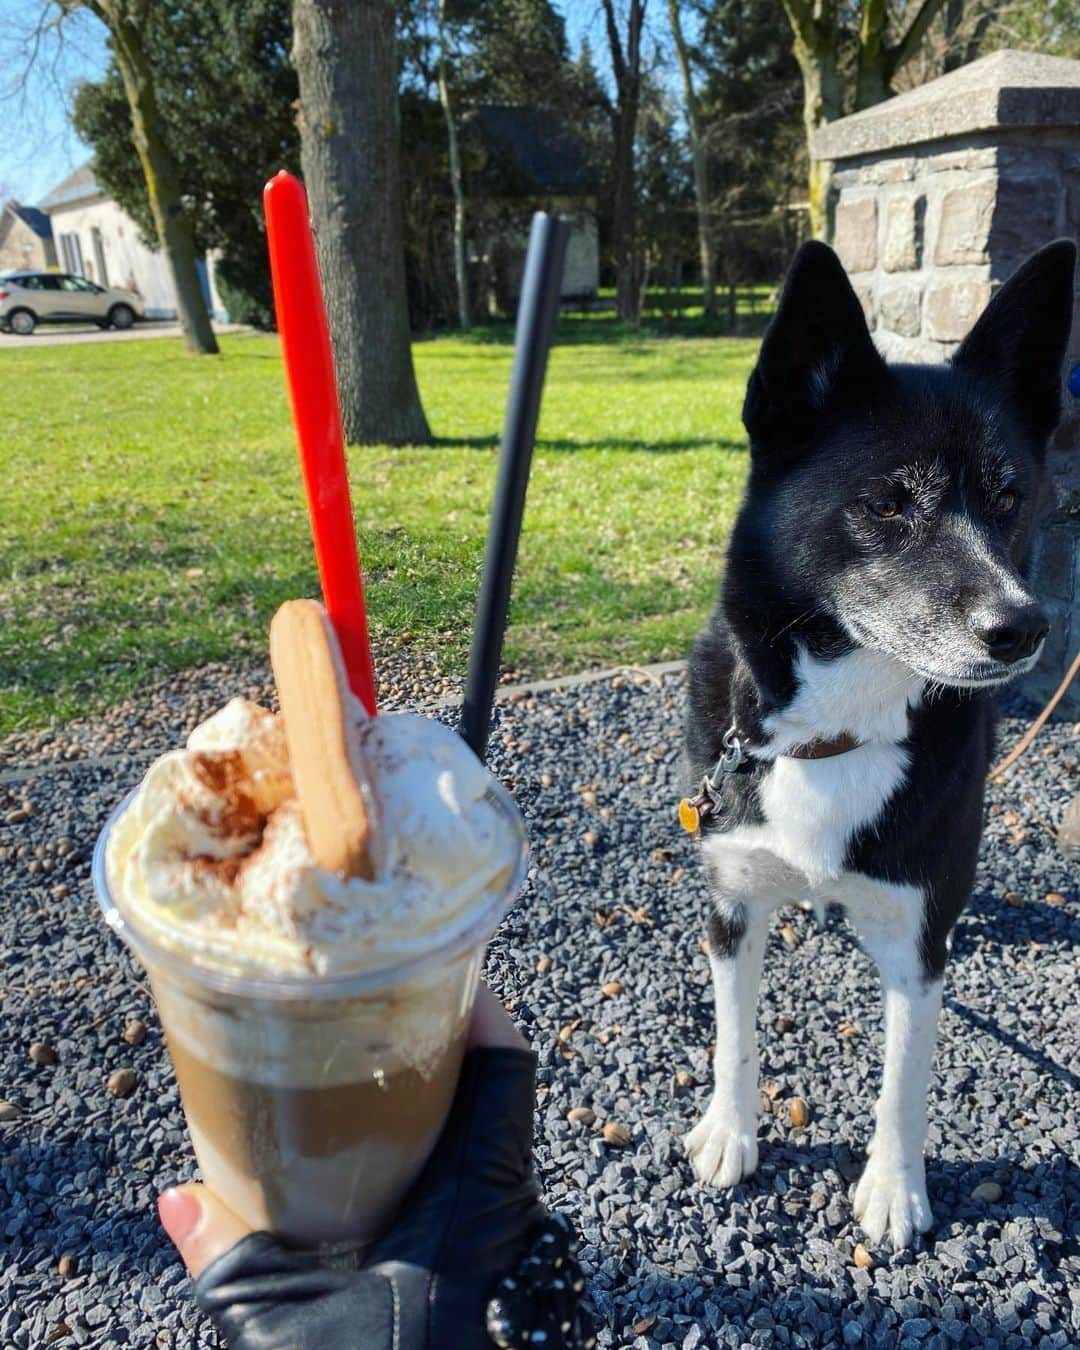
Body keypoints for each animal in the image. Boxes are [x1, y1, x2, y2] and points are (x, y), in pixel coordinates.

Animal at [688, 240, 1074, 1242]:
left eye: (1010, 498)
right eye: (888, 504)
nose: (1024, 628)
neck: (839, 731)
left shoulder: (917, 934)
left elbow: (904, 1076)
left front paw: (895, 1190)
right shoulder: (730, 901)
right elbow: (734, 1038)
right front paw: (729, 1135)